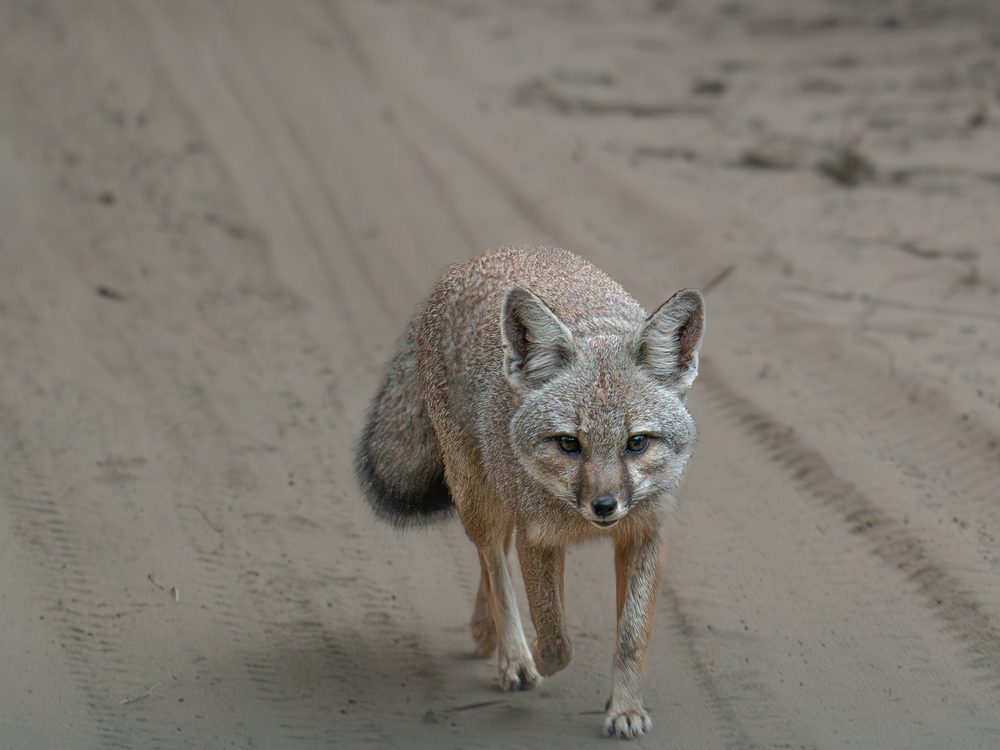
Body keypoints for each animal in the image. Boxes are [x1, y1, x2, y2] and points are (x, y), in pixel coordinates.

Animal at [355, 246, 704, 739]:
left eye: (636, 443)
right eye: (568, 444)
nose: (604, 507)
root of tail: (482, 257)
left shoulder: (644, 534)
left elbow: (631, 637)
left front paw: (626, 709)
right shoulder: (538, 538)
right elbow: (557, 639)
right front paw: (533, 657)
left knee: (492, 563)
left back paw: (486, 632)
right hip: (480, 502)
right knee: (494, 565)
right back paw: (513, 657)